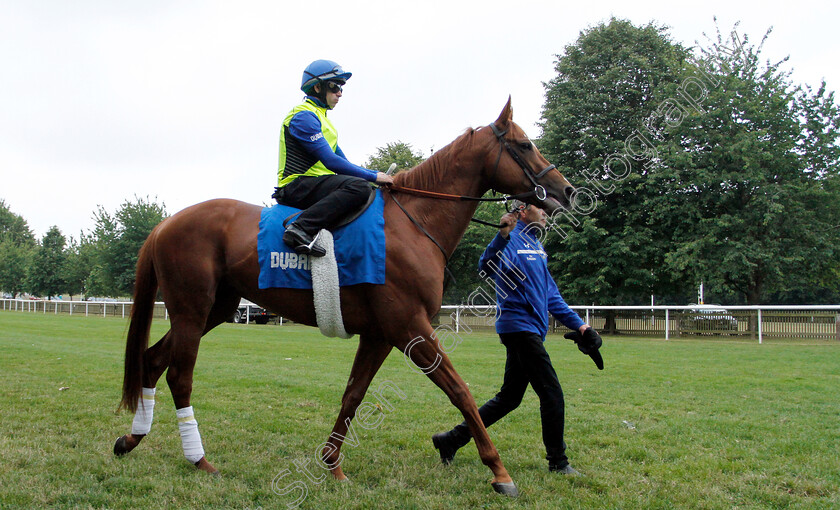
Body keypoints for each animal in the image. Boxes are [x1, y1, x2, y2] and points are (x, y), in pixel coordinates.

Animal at [115, 97, 576, 496]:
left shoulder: (381, 334)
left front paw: (332, 463)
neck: (413, 222)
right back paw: (199, 459)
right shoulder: (410, 327)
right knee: (179, 375)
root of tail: (166, 223)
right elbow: (460, 391)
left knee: (152, 360)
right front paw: (499, 471)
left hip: (214, 309)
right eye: (525, 144)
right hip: (192, 311)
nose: (567, 191)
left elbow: (353, 394)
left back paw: (132, 439)